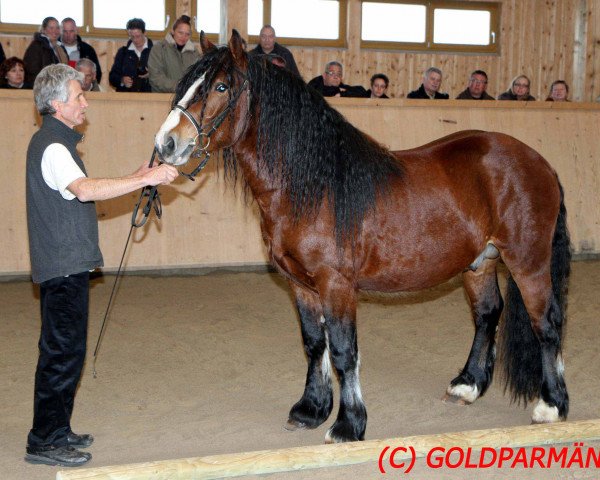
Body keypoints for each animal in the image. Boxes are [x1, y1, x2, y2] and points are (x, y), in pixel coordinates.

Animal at [154, 30, 572, 442]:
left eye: (221, 86)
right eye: (187, 84)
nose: (165, 144)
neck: (315, 187)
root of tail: (541, 163)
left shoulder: (336, 285)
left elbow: (343, 351)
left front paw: (347, 424)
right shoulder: (301, 285)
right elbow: (314, 345)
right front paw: (310, 409)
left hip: (528, 261)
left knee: (545, 322)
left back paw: (551, 405)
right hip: (478, 263)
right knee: (487, 314)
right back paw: (467, 385)